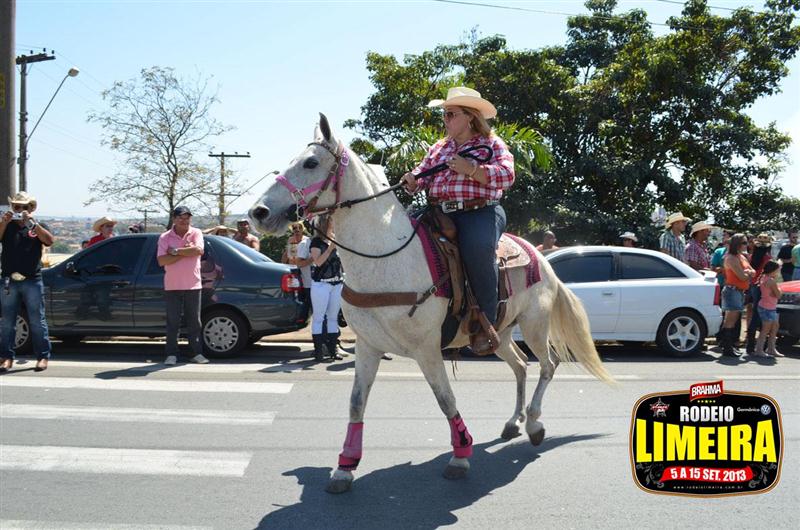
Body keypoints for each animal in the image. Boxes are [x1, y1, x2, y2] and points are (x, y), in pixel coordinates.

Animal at [249, 114, 614, 494]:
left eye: (310, 162)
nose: (258, 212)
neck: (387, 258)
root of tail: (541, 258)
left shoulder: (427, 348)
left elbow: (445, 399)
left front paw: (461, 454)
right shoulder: (367, 346)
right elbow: (356, 403)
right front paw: (345, 467)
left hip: (534, 325)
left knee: (548, 365)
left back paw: (534, 425)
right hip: (500, 333)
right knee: (520, 366)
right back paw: (514, 422)